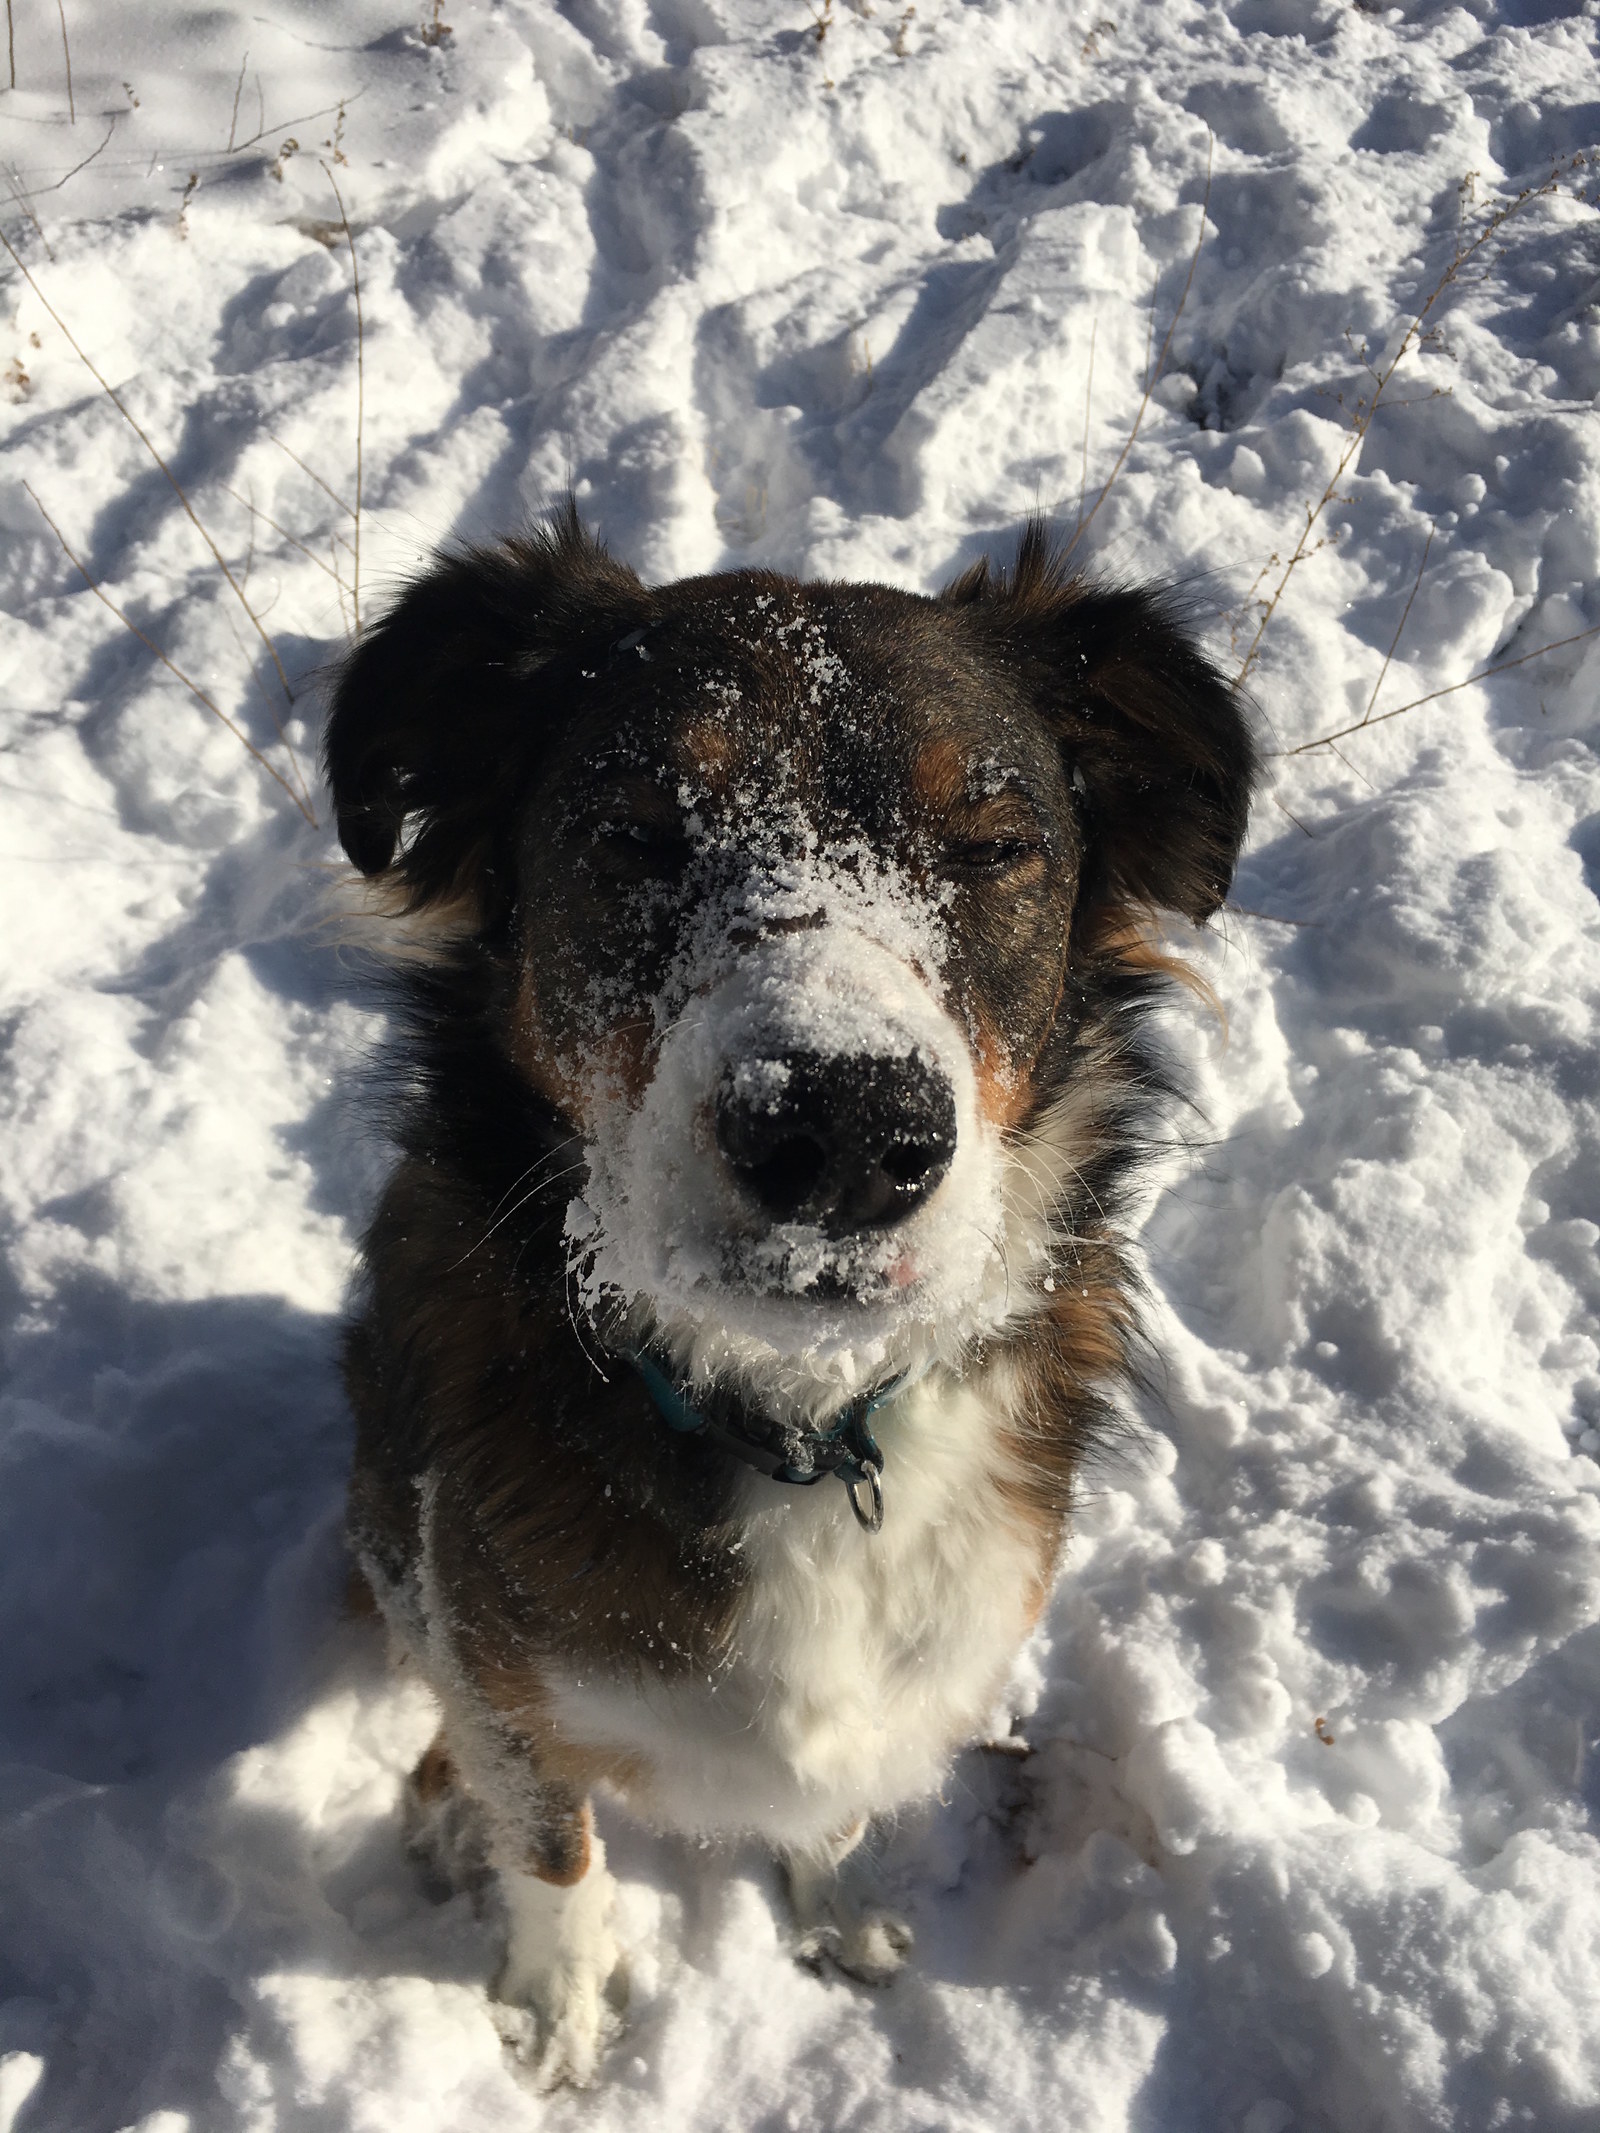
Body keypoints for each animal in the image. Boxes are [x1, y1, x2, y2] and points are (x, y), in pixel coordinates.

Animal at [322, 503, 1254, 2081]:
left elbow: (839, 1794)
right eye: (631, 835)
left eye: (994, 846)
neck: (801, 1428)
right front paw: (560, 2002)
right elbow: (552, 1839)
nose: (842, 1131)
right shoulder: (502, 1673)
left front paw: (834, 1895)